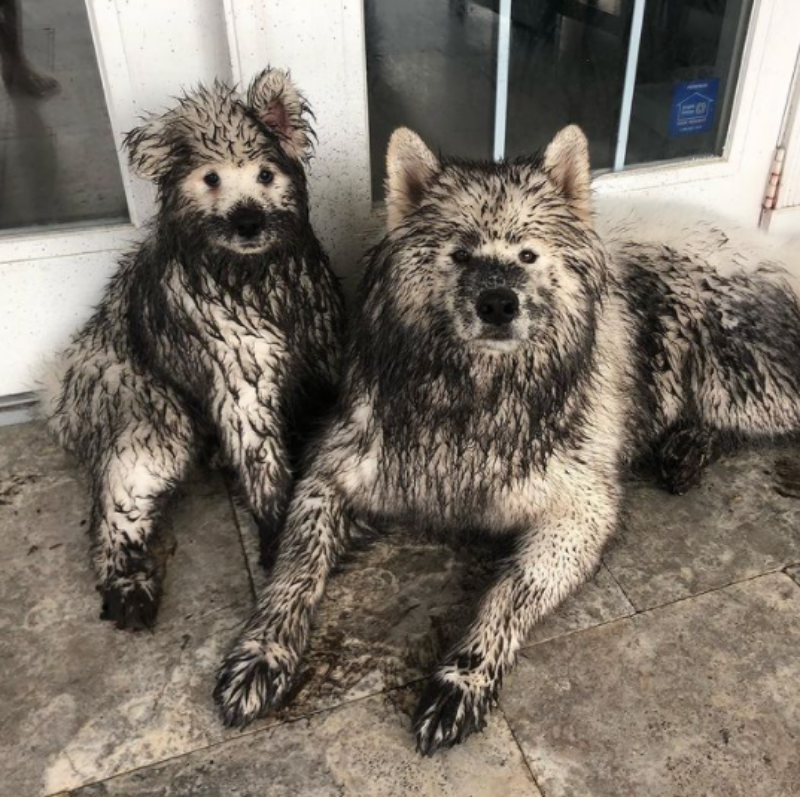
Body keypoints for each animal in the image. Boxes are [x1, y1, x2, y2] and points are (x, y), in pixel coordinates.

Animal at [41, 68, 344, 628]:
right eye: (210, 179)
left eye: (265, 174)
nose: (248, 222)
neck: (256, 278)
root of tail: (60, 386)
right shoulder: (242, 386)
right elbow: (266, 471)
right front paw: (278, 541)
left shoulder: (327, 355)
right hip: (149, 422)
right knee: (112, 512)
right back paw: (129, 587)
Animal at [212, 124, 800, 752]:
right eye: (460, 254)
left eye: (527, 255)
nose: (498, 303)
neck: (476, 393)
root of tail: (769, 248)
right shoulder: (332, 476)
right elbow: (296, 569)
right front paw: (262, 651)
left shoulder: (579, 512)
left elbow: (508, 591)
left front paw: (464, 679)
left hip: (732, 379)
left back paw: (691, 444)